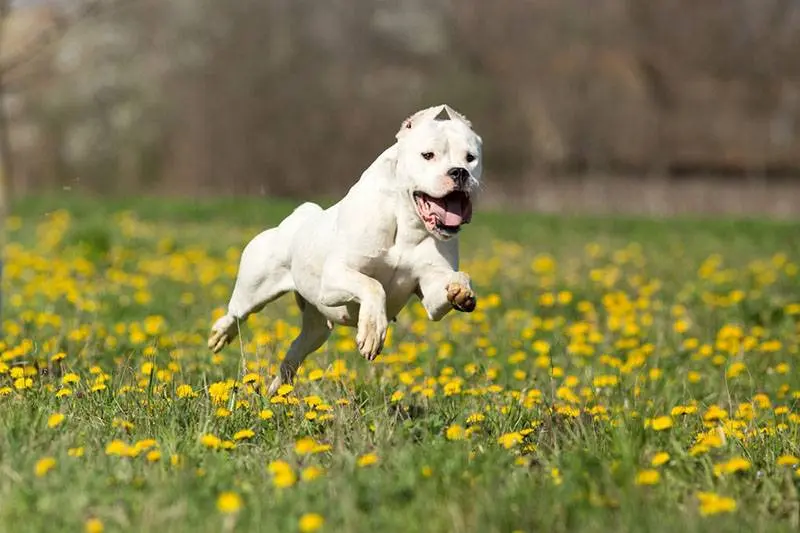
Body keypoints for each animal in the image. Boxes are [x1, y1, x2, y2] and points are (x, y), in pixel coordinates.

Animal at [208, 105, 482, 394]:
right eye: (428, 155)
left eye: (470, 158)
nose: (459, 172)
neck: (406, 220)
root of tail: (296, 218)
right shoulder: (334, 278)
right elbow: (373, 285)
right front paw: (372, 331)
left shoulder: (431, 294)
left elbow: (450, 284)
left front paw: (461, 290)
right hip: (254, 290)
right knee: (237, 313)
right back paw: (221, 335)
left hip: (316, 329)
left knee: (295, 351)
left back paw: (278, 391)